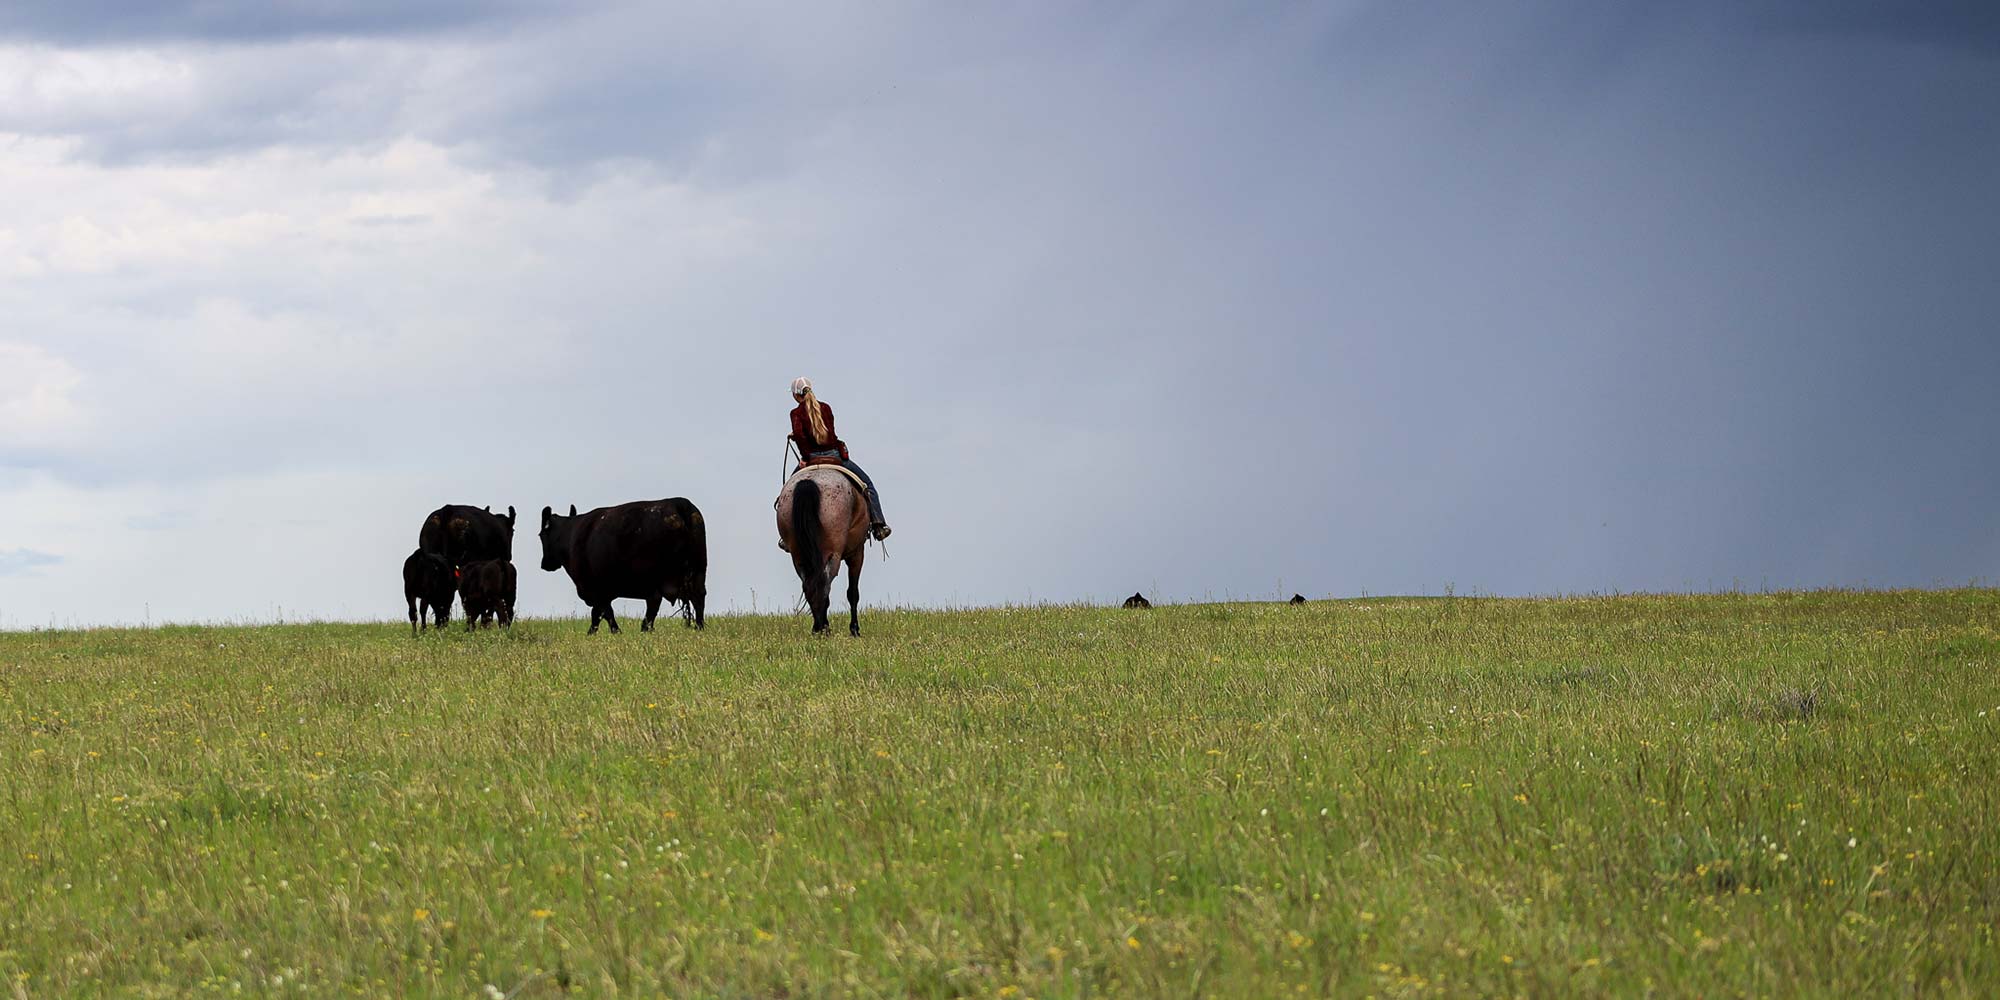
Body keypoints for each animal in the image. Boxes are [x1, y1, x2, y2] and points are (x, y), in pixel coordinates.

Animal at [540, 500, 712, 632]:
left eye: (541, 535)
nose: (544, 564)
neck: (570, 536)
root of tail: (680, 504)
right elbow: (599, 614)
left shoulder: (596, 589)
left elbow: (603, 614)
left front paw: (615, 632)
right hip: (698, 572)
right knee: (698, 599)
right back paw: (699, 628)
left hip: (656, 578)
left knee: (654, 605)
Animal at [772, 466, 868, 632]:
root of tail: (809, 483)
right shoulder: (857, 553)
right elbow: (853, 593)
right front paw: (854, 629)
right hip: (832, 554)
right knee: (824, 585)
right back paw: (824, 629)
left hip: (799, 556)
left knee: (810, 586)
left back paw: (818, 628)